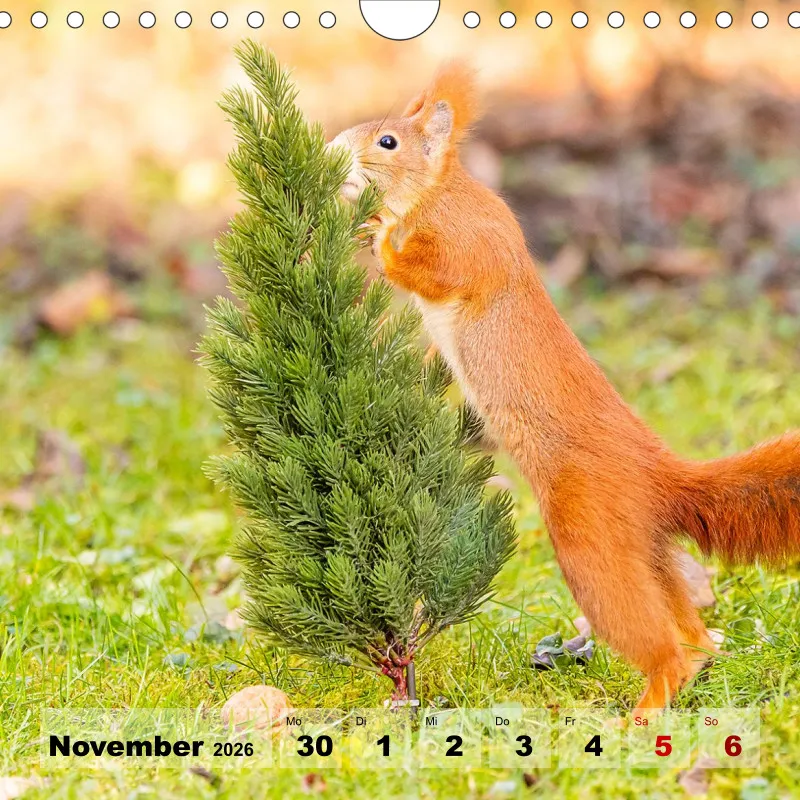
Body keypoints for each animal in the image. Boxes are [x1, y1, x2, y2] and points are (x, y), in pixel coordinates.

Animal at [328, 63, 800, 714]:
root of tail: (658, 475)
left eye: (388, 141)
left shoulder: (466, 246)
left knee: (657, 642)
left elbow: (432, 271)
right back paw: (695, 663)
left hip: (589, 537)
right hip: (643, 545)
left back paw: (649, 703)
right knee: (689, 628)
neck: (439, 193)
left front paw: (378, 231)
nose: (332, 151)